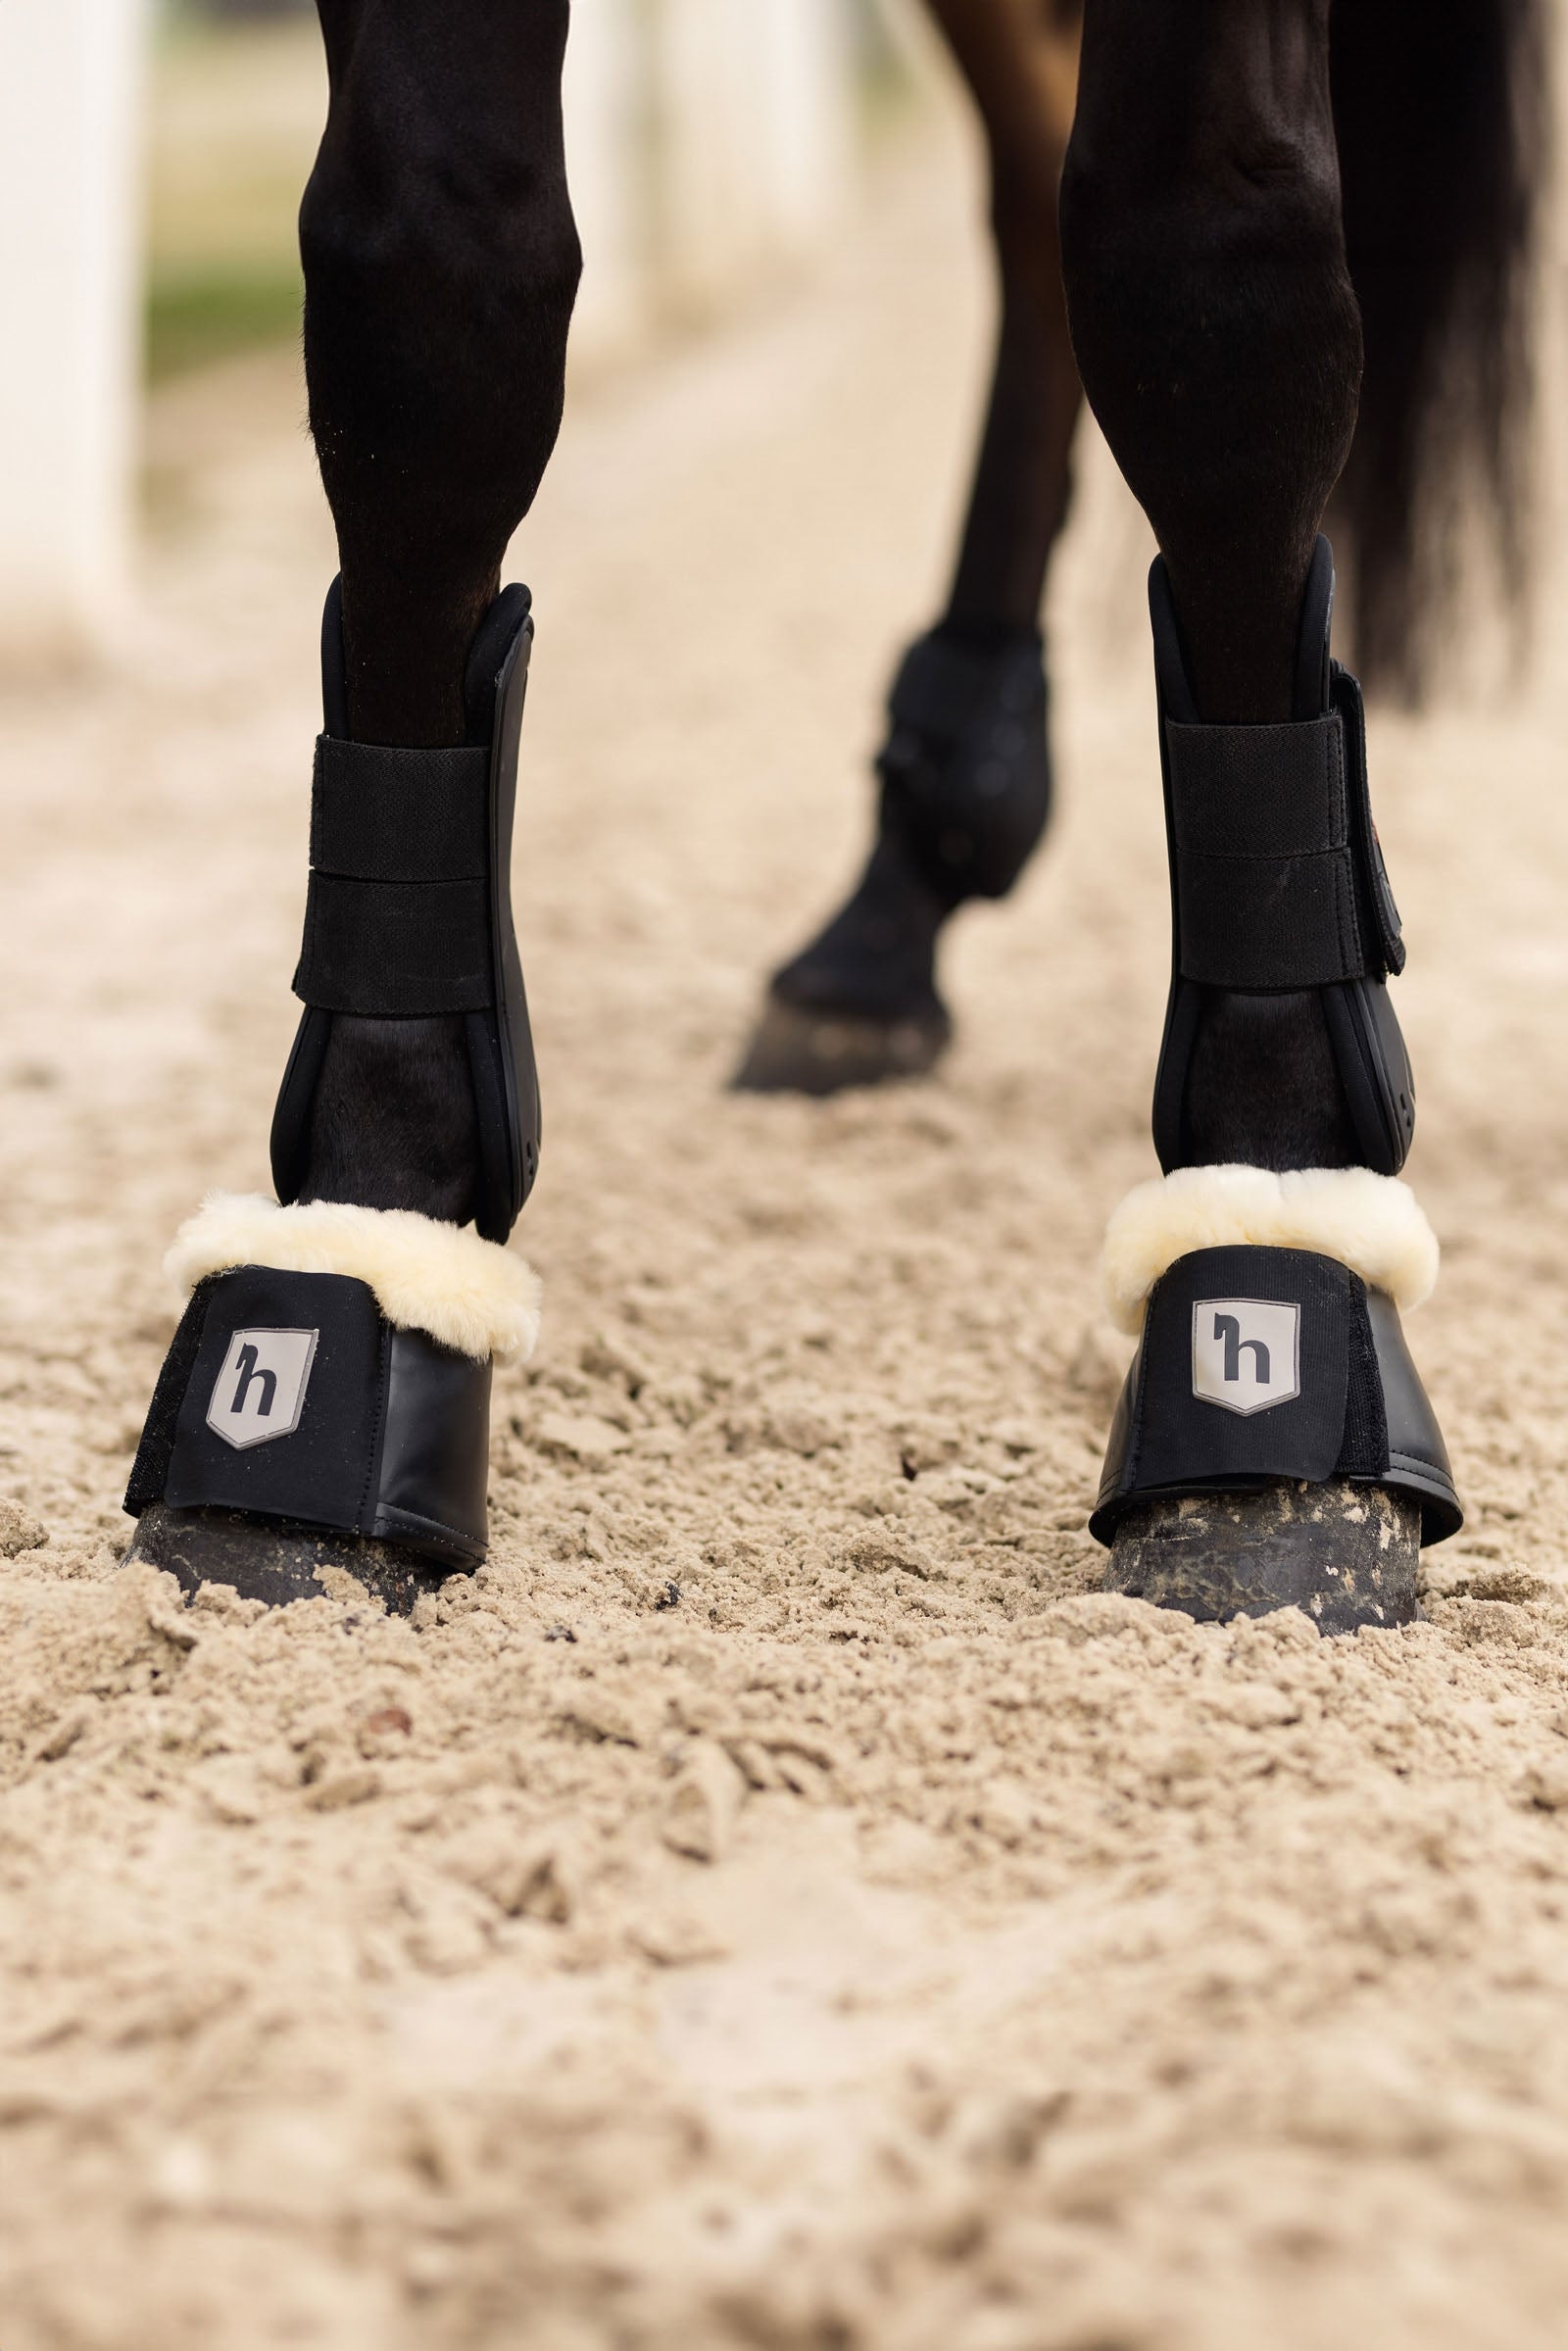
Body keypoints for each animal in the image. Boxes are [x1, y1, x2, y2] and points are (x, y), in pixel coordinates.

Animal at [124, 0, 1548, 1635]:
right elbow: (427, 282)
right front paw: (361, 1254)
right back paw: (894, 909)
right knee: (1029, 197)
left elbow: (1211, 251)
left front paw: (1283, 1244)